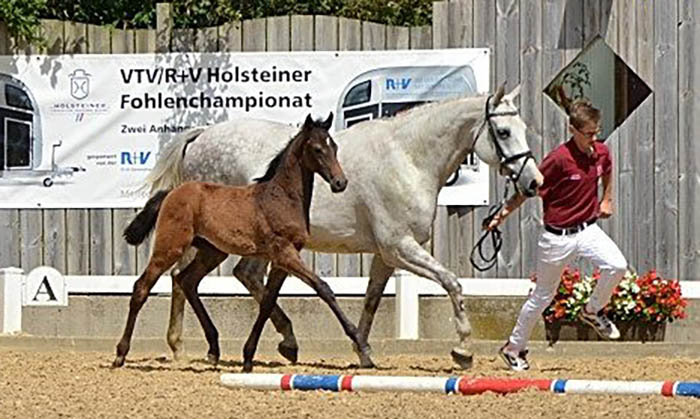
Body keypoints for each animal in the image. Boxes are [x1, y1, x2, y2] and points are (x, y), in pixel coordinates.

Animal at [114, 114, 374, 370]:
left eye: (335, 147)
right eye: (318, 149)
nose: (340, 183)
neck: (280, 197)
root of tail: (172, 192)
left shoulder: (281, 260)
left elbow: (268, 301)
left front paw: (252, 356)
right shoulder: (285, 253)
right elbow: (323, 288)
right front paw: (361, 344)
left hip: (212, 252)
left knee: (186, 280)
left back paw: (214, 349)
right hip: (170, 247)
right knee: (142, 287)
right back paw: (120, 355)